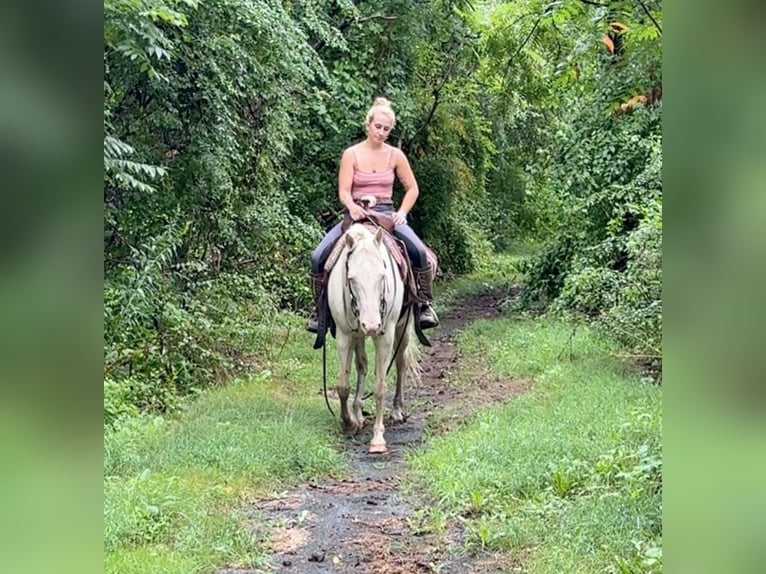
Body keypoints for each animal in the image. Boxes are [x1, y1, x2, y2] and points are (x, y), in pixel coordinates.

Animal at [326, 225, 420, 454]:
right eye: (351, 278)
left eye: (382, 276)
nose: (371, 325)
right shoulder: (344, 335)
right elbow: (343, 386)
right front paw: (349, 423)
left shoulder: (384, 337)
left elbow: (379, 388)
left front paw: (378, 439)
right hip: (358, 336)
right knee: (362, 366)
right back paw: (358, 414)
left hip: (402, 328)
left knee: (401, 363)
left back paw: (397, 411)